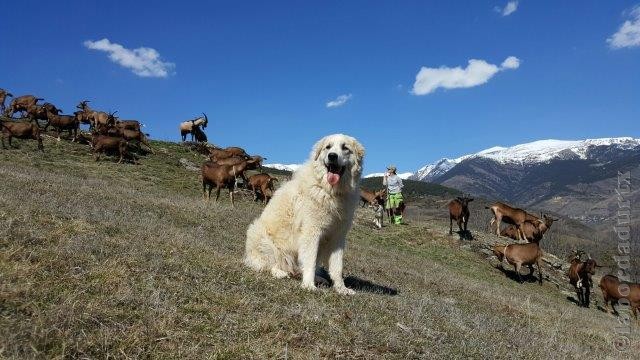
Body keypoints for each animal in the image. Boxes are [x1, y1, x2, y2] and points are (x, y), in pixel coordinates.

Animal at [244, 134, 364, 294]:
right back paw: (280, 272)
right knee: (269, 263)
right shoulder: (311, 232)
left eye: (345, 148)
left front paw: (341, 288)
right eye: (328, 147)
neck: (330, 191)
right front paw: (308, 285)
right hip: (261, 235)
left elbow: (337, 267)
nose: (332, 156)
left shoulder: (337, 236)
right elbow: (310, 261)